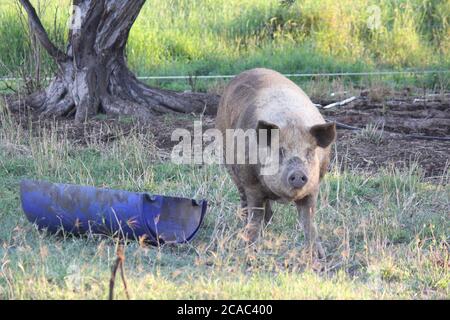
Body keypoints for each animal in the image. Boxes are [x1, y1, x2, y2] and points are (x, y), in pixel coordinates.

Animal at [216, 67, 336, 258]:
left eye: (309, 152)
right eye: (280, 151)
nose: (298, 174)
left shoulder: (314, 184)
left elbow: (308, 219)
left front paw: (318, 255)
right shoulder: (251, 183)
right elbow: (255, 214)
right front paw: (249, 248)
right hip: (229, 162)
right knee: (244, 200)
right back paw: (246, 224)